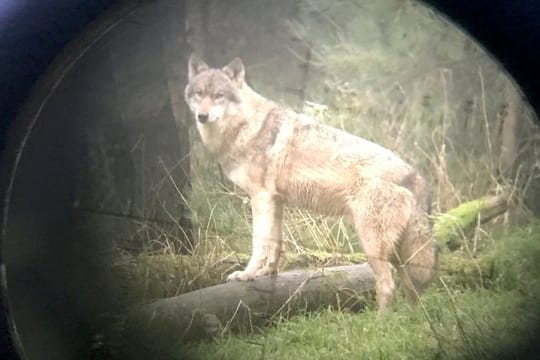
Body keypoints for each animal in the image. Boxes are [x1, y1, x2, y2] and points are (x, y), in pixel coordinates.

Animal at [184, 52, 436, 310]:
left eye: (219, 95)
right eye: (199, 93)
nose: (201, 116)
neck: (247, 126)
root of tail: (415, 176)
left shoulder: (260, 198)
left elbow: (259, 243)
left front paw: (247, 275)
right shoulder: (276, 201)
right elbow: (275, 243)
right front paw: (268, 273)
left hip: (372, 245)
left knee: (388, 286)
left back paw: (381, 320)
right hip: (398, 254)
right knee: (412, 290)